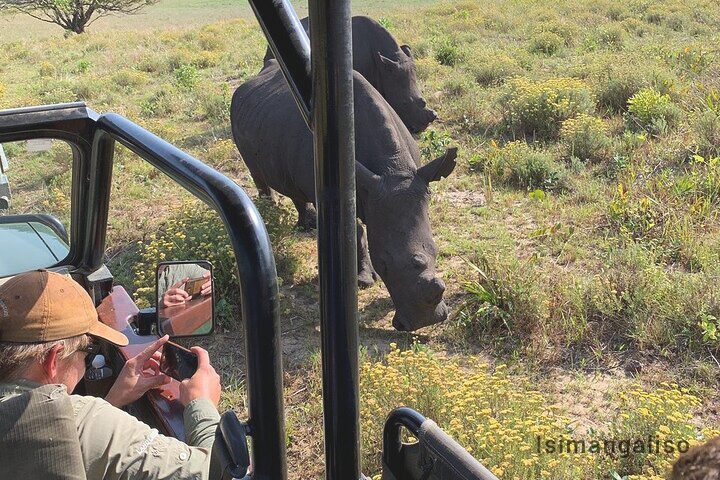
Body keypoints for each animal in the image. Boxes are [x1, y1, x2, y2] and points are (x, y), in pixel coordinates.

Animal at [231, 60, 457, 331]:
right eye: (384, 265)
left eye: (436, 252)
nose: (425, 322)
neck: (392, 169)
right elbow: (356, 232)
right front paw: (364, 280)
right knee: (258, 174)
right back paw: (271, 216)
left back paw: (306, 225)